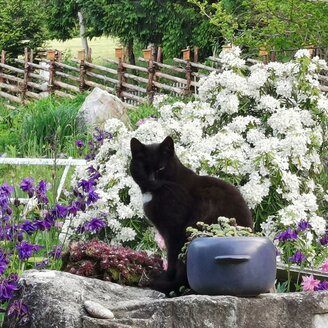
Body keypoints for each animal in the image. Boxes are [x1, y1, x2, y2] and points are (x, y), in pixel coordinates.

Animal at [129, 136, 252, 294]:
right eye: (144, 168)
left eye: (161, 168)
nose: (151, 180)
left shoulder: (174, 229)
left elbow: (171, 256)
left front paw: (165, 277)